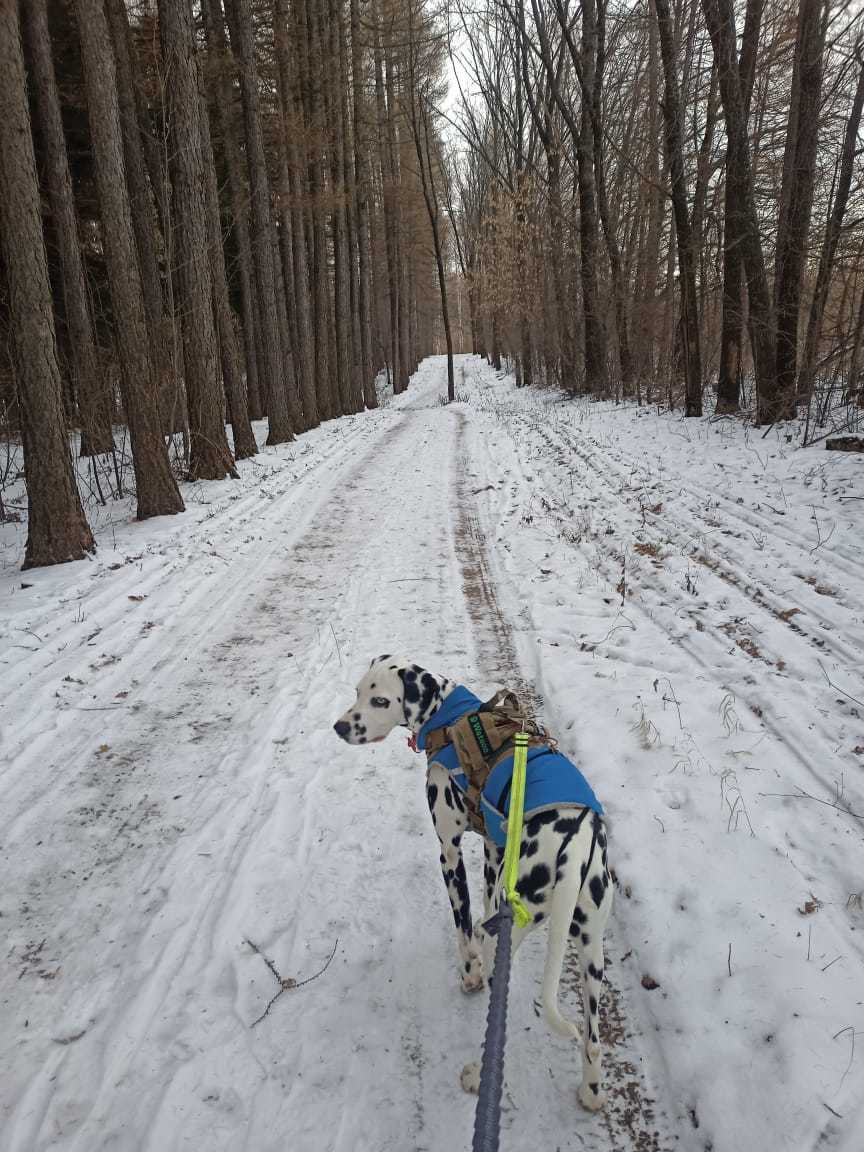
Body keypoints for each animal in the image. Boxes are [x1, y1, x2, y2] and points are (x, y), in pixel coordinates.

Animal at [334, 654, 617, 1110]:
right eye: (358, 691)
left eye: (380, 700)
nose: (340, 726)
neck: (451, 714)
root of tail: (574, 848)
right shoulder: (494, 847)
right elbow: (482, 900)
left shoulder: (449, 850)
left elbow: (463, 924)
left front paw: (468, 973)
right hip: (591, 950)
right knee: (591, 1040)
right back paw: (590, 1093)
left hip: (510, 930)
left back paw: (473, 1072)